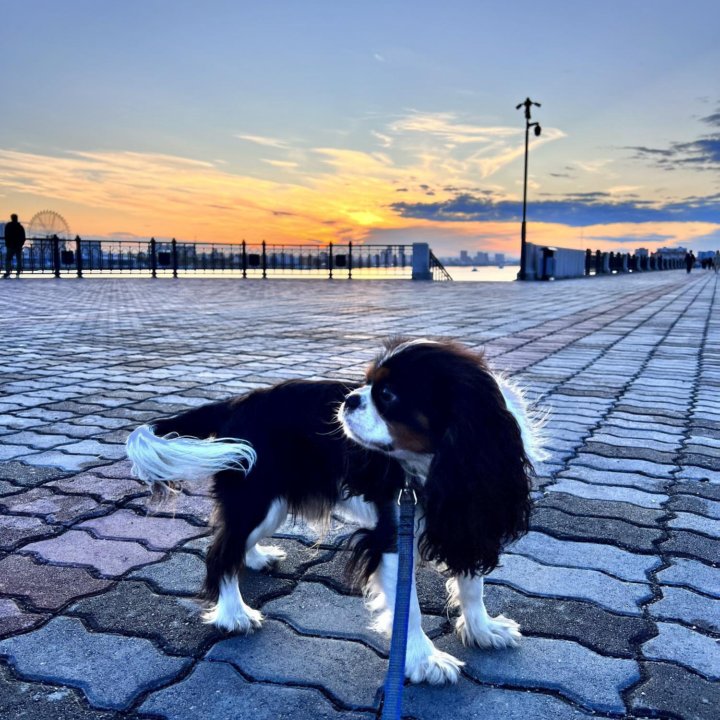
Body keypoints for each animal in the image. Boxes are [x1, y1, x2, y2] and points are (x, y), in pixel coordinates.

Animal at [126, 340, 544, 684]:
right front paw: (424, 660)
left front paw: (482, 629)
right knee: (221, 552)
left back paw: (256, 557)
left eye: (387, 395)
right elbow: (408, 609)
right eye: (367, 384)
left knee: (235, 541)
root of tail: (240, 401)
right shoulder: (393, 533)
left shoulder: (472, 519)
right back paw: (234, 614)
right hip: (259, 498)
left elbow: (473, 585)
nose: (349, 400)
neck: (435, 465)